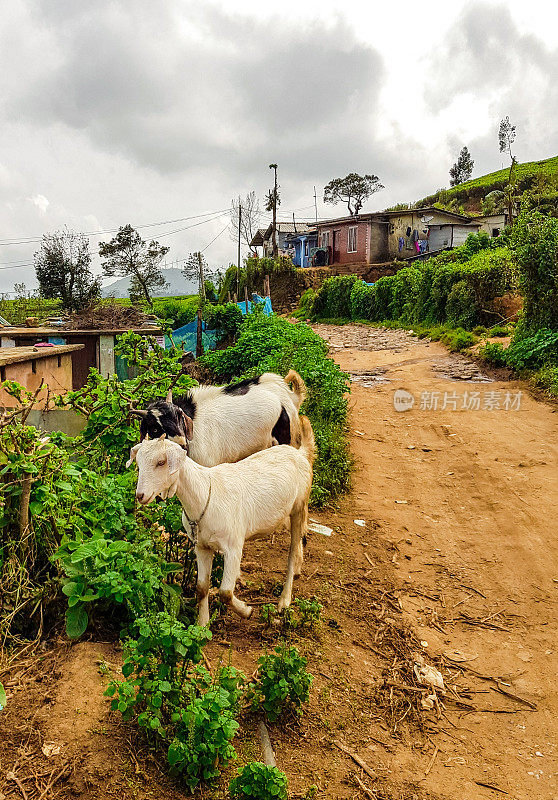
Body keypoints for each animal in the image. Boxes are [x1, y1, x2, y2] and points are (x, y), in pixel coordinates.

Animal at [129, 416, 318, 628]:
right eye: (138, 462)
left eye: (161, 462)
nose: (140, 495)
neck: (205, 494)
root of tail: (300, 453)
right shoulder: (201, 546)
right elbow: (201, 587)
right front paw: (202, 624)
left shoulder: (233, 547)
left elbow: (225, 592)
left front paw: (246, 610)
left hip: (299, 506)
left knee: (293, 551)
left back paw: (284, 600)